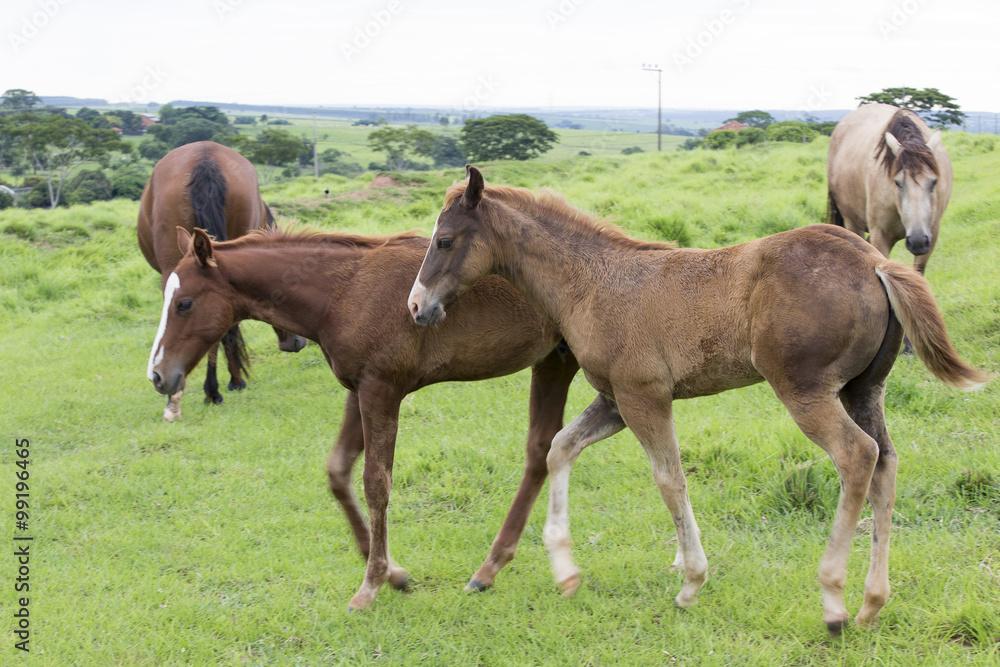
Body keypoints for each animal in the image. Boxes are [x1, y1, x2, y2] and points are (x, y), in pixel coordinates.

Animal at [145, 224, 580, 611]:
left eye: (184, 303)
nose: (158, 375)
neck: (344, 292)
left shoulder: (381, 389)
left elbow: (376, 484)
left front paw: (370, 585)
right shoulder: (359, 389)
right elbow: (338, 472)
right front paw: (395, 575)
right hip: (554, 359)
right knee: (540, 448)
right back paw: (489, 570)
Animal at [408, 166, 989, 633]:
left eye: (445, 241)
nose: (417, 306)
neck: (592, 283)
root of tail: (874, 262)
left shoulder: (644, 398)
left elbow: (669, 480)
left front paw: (691, 581)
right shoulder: (615, 402)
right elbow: (560, 449)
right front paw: (566, 571)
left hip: (806, 391)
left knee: (857, 456)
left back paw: (833, 601)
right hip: (863, 389)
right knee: (886, 462)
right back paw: (871, 603)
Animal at [827, 103, 953, 275]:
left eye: (934, 182)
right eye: (897, 183)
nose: (917, 241)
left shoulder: (932, 233)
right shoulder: (880, 234)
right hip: (851, 222)